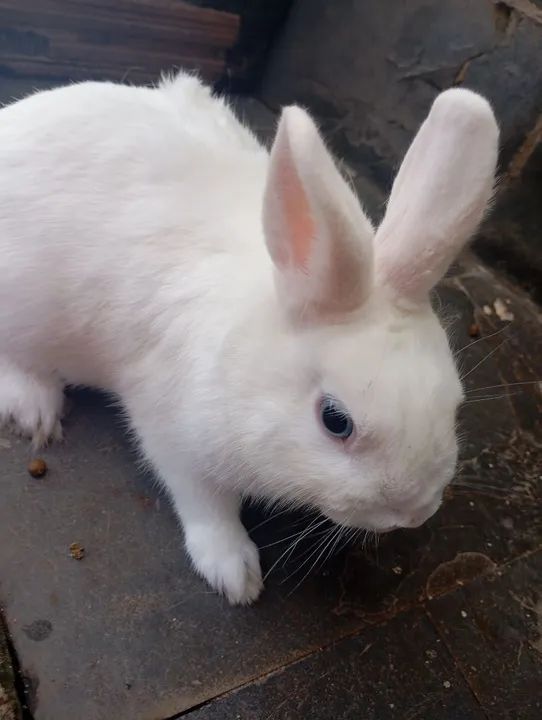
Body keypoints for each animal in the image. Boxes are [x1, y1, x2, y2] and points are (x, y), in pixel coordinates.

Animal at [0, 71, 498, 604]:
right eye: (335, 421)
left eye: (454, 404)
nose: (414, 511)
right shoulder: (175, 438)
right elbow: (208, 507)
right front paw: (235, 574)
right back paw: (35, 409)